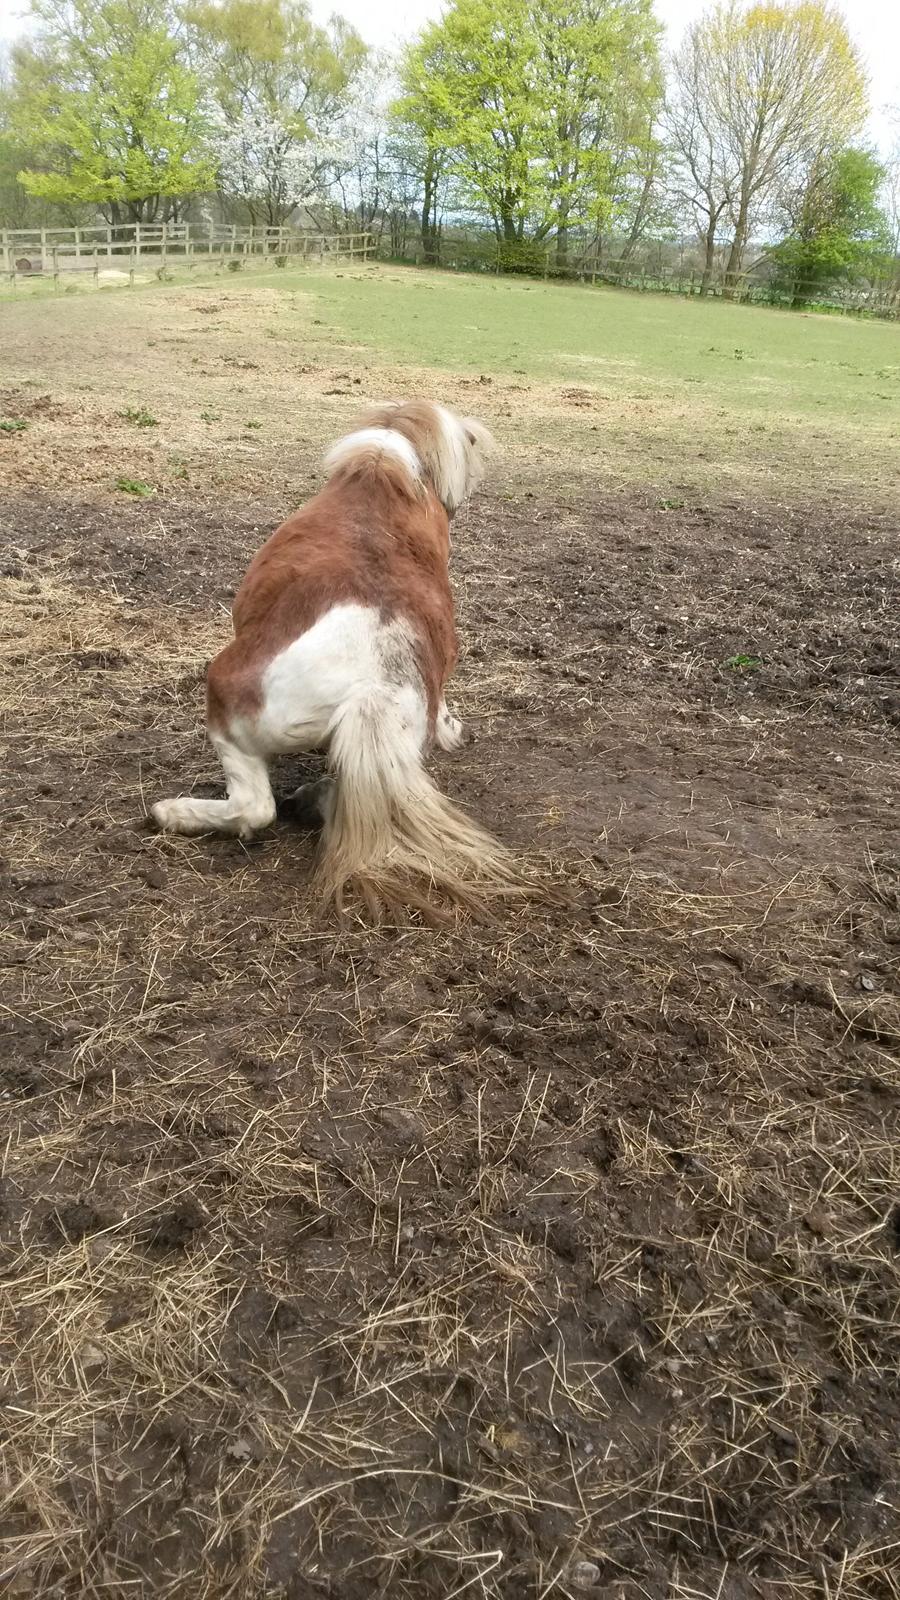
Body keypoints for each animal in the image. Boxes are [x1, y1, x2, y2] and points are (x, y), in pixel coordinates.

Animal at [150, 400, 522, 915]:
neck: (380, 475)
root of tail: (372, 686)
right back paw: (310, 800)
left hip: (224, 694)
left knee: (255, 808)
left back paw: (176, 813)